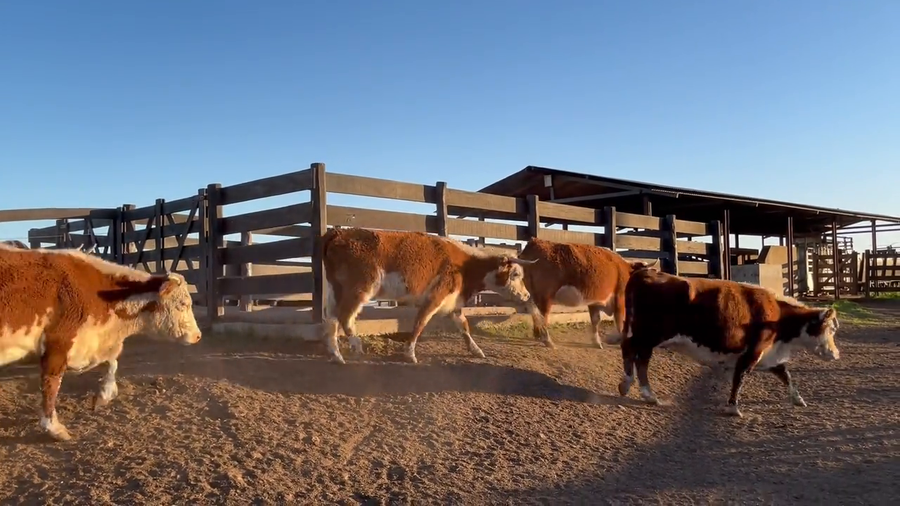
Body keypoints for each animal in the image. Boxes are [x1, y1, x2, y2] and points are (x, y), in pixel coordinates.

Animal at [0, 243, 202, 441]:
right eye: (183, 304)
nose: (198, 336)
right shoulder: (58, 344)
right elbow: (51, 384)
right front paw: (53, 427)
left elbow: (112, 362)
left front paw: (104, 394)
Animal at [321, 227, 537, 364]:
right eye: (515, 274)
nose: (527, 295)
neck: (465, 266)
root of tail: (339, 232)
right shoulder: (435, 297)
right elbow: (420, 323)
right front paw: (409, 354)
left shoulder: (453, 302)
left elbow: (464, 326)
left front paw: (476, 350)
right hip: (360, 287)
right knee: (345, 316)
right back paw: (356, 347)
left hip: (335, 289)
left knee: (331, 318)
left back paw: (337, 355)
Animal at [518, 237, 658, 349]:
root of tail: (534, 242)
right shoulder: (619, 299)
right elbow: (619, 322)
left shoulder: (594, 301)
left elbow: (596, 320)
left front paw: (596, 342)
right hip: (545, 297)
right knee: (543, 316)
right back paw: (547, 341)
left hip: (533, 295)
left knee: (534, 312)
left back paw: (537, 335)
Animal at [610, 266, 841, 417]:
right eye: (830, 329)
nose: (836, 354)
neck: (777, 314)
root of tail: (646, 273)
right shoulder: (752, 352)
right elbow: (740, 378)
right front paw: (732, 407)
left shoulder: (768, 355)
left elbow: (785, 375)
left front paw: (797, 399)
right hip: (650, 335)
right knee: (634, 352)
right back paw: (638, 389)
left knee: (636, 354)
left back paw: (638, 390)